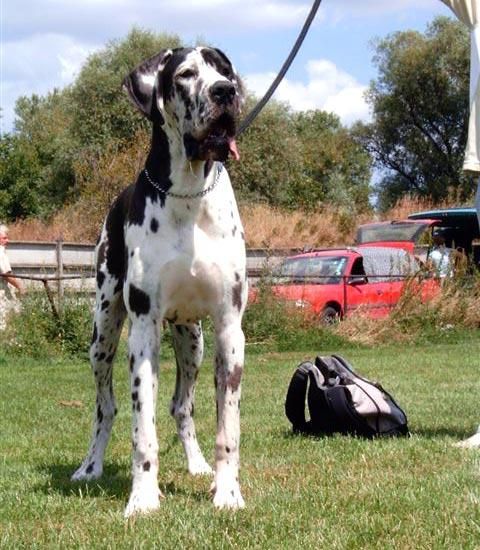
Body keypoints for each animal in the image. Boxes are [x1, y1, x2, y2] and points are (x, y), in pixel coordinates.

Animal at [71, 46, 247, 517]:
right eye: (185, 74)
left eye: (225, 70)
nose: (225, 92)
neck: (189, 195)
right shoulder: (143, 331)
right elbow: (141, 430)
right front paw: (143, 498)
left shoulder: (229, 329)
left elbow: (228, 429)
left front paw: (228, 492)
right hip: (104, 335)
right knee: (107, 408)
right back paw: (90, 466)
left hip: (193, 342)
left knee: (181, 406)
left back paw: (198, 465)